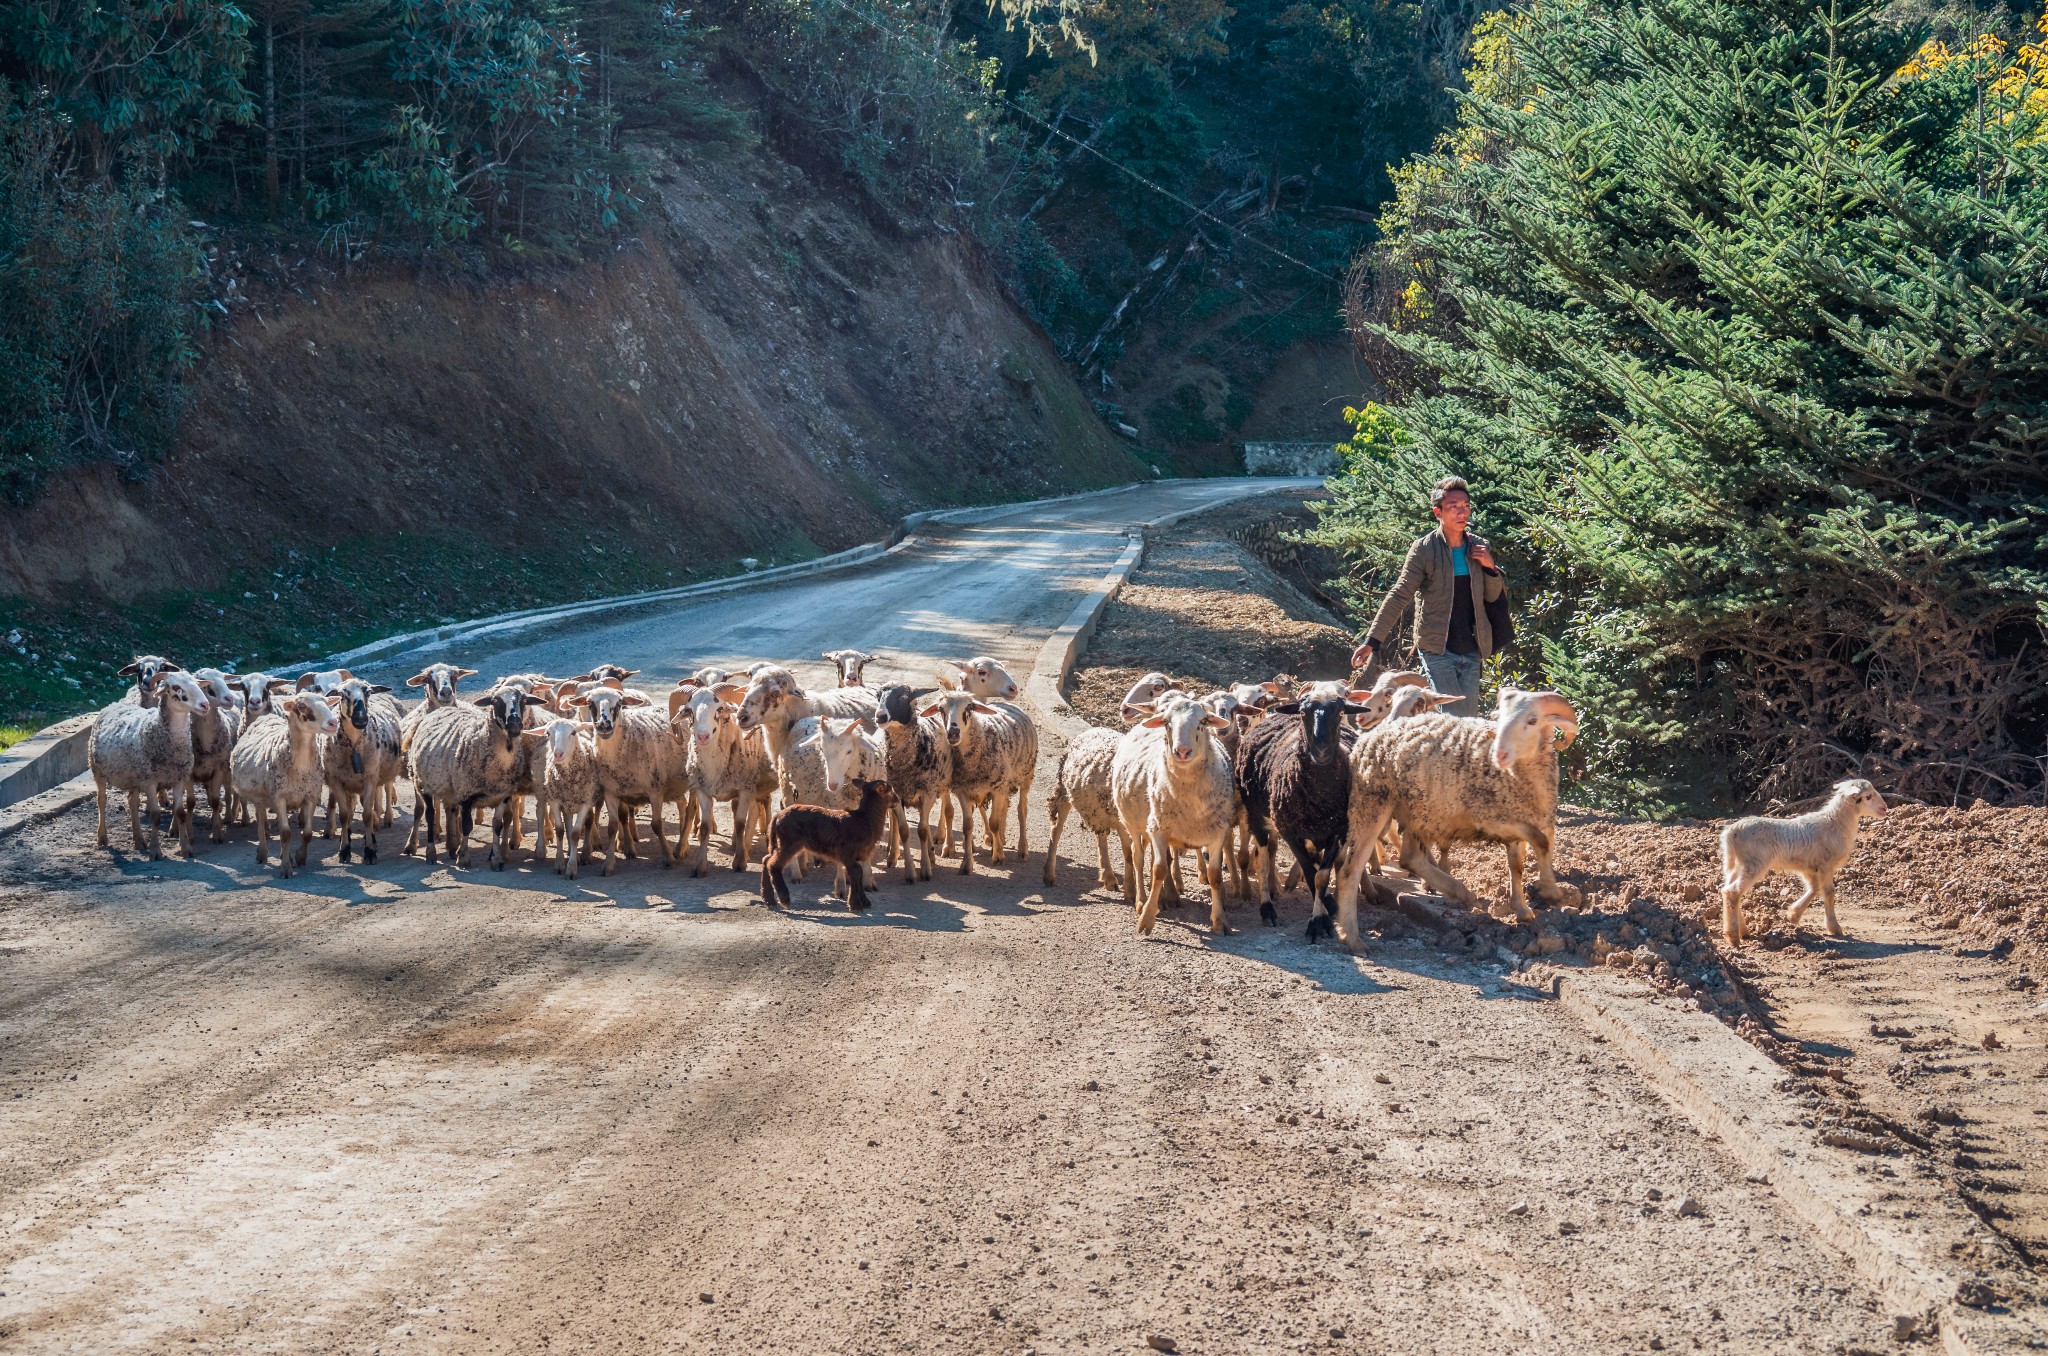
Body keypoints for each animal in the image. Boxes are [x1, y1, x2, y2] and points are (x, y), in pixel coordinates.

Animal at [87, 675, 209, 864]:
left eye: (197, 683)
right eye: (176, 687)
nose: (205, 705)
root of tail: (112, 704)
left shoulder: (179, 777)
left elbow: (180, 813)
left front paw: (185, 849)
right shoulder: (151, 781)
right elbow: (155, 815)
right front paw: (155, 851)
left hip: (136, 777)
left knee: (132, 802)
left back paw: (139, 840)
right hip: (98, 770)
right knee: (102, 800)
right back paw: (102, 837)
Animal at [231, 692, 339, 880]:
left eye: (327, 703)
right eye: (302, 706)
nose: (333, 723)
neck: (301, 766)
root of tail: (265, 717)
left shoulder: (311, 795)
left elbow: (307, 833)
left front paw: (299, 857)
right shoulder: (279, 797)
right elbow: (285, 833)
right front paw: (286, 869)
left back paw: (285, 855)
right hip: (260, 797)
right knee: (261, 822)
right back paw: (262, 853)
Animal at [1712, 782, 1884, 950]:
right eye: (1868, 796)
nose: (1885, 808)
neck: (1834, 823)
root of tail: (1731, 832)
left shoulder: (1810, 866)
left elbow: (1815, 888)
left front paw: (1793, 915)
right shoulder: (1826, 864)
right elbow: (1829, 892)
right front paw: (1834, 928)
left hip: (1739, 864)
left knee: (1727, 890)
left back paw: (1743, 931)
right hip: (1755, 862)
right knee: (1733, 891)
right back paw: (1734, 937)